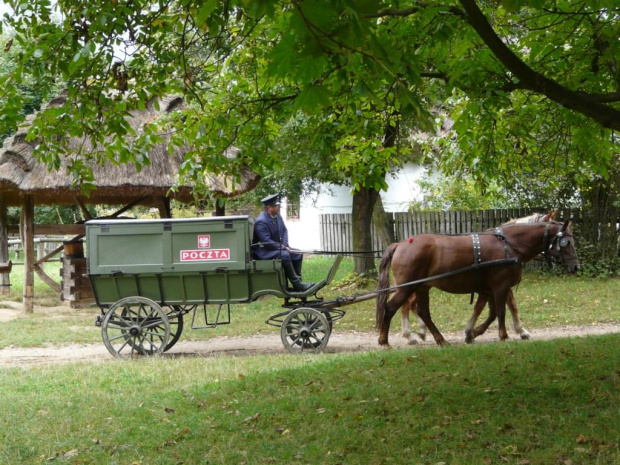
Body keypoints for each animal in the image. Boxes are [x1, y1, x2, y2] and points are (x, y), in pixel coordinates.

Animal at [376, 219, 580, 346]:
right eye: (566, 242)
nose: (576, 267)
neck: (509, 245)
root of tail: (400, 244)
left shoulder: (489, 289)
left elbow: (490, 312)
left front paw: (472, 332)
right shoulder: (500, 286)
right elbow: (500, 311)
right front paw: (504, 335)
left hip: (422, 287)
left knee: (423, 312)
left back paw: (439, 339)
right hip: (407, 287)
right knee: (391, 308)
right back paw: (386, 341)